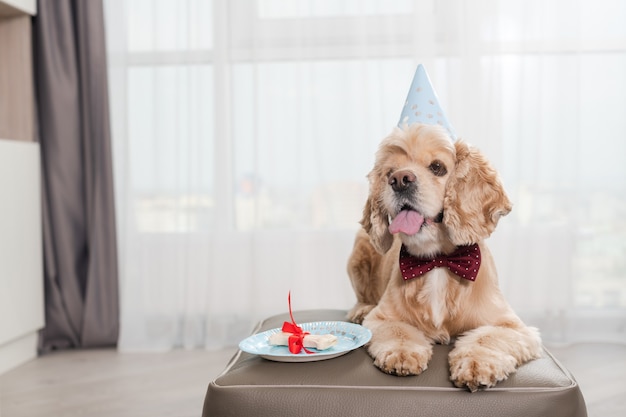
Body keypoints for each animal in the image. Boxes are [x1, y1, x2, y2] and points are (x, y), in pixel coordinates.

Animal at [346, 122, 540, 390]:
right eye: (389, 173)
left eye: (437, 167)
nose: (399, 180)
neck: (436, 261)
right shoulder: (383, 318)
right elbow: (399, 331)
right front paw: (403, 354)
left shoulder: (512, 326)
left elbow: (487, 339)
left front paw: (476, 364)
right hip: (359, 253)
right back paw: (360, 309)